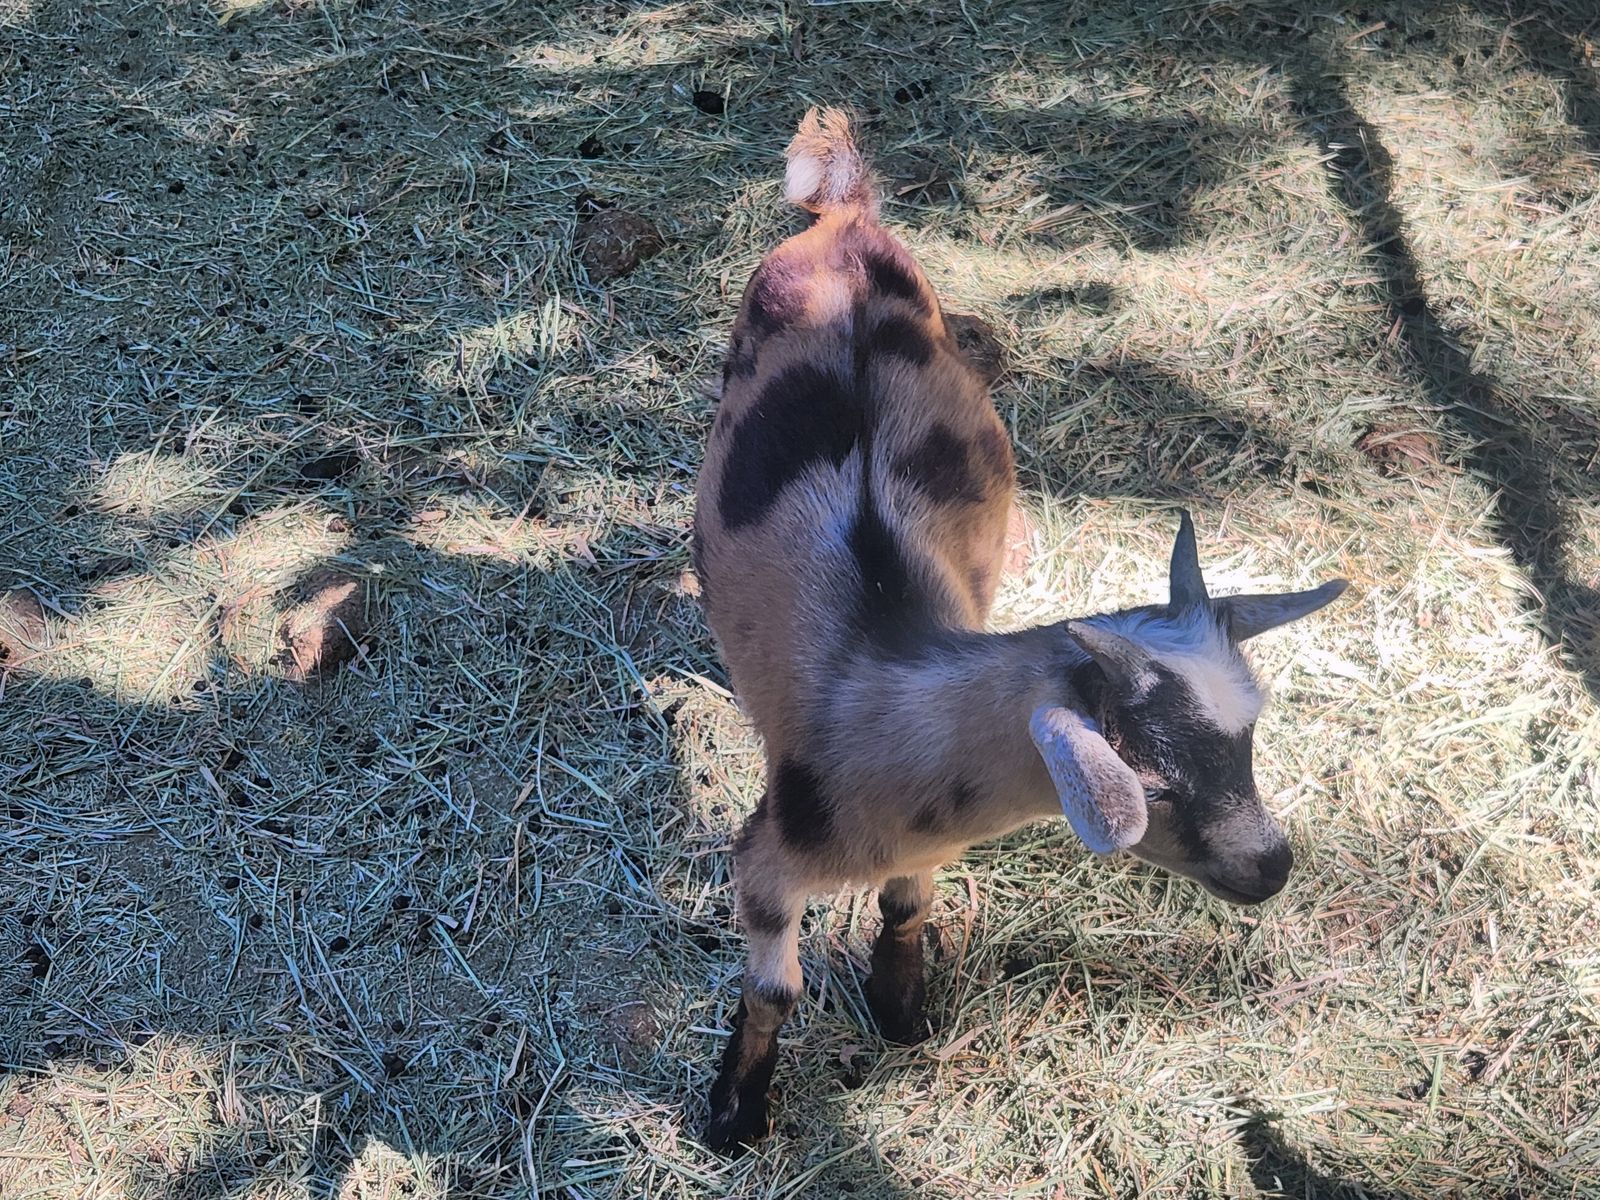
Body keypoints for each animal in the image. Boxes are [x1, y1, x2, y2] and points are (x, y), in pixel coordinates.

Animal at [690, 108, 1348, 1151]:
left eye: (1252, 738)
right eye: (1150, 781)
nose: (1272, 868)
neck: (886, 696)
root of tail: (845, 220)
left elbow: (910, 902)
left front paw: (901, 1008)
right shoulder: (765, 857)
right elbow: (773, 988)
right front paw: (737, 1111)